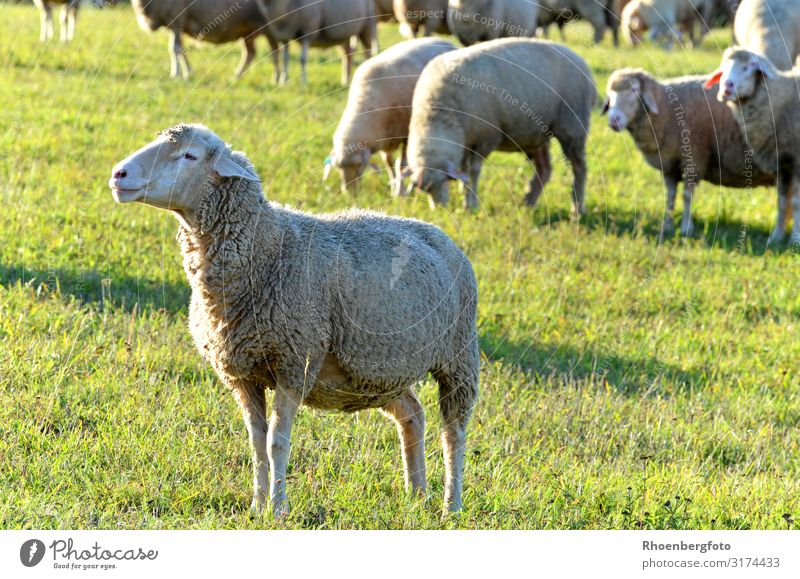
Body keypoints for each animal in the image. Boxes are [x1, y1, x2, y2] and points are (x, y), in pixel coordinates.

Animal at [107, 124, 482, 520]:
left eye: (189, 155)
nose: (119, 174)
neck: (266, 248)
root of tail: (438, 234)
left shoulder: (293, 364)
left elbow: (276, 442)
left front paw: (278, 508)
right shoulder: (242, 375)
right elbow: (256, 442)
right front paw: (257, 506)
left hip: (458, 357)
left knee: (454, 433)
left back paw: (451, 505)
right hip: (379, 372)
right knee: (413, 415)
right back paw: (416, 495)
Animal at [326, 39, 456, 197]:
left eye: (360, 165)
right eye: (338, 167)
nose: (350, 193)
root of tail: (445, 41)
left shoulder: (406, 134)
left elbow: (401, 165)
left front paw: (401, 193)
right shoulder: (384, 137)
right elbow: (388, 163)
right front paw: (394, 189)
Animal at [406, 38, 592, 213]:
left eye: (443, 181)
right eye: (422, 190)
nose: (439, 209)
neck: (438, 112)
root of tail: (579, 58)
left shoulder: (487, 138)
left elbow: (473, 171)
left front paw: (471, 204)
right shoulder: (466, 141)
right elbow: (464, 169)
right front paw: (464, 197)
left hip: (572, 126)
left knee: (580, 169)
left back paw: (576, 209)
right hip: (538, 133)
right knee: (545, 169)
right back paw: (528, 202)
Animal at [608, 67, 776, 238]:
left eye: (634, 90)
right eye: (610, 94)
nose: (613, 120)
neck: (665, 109)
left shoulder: (695, 157)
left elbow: (687, 195)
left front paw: (686, 228)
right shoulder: (669, 164)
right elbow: (670, 195)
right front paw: (667, 226)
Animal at [708, 46, 800, 244]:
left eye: (750, 65)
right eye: (723, 67)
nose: (726, 87)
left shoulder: (797, 161)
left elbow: (796, 202)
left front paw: (795, 239)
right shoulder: (781, 162)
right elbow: (782, 201)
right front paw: (776, 237)